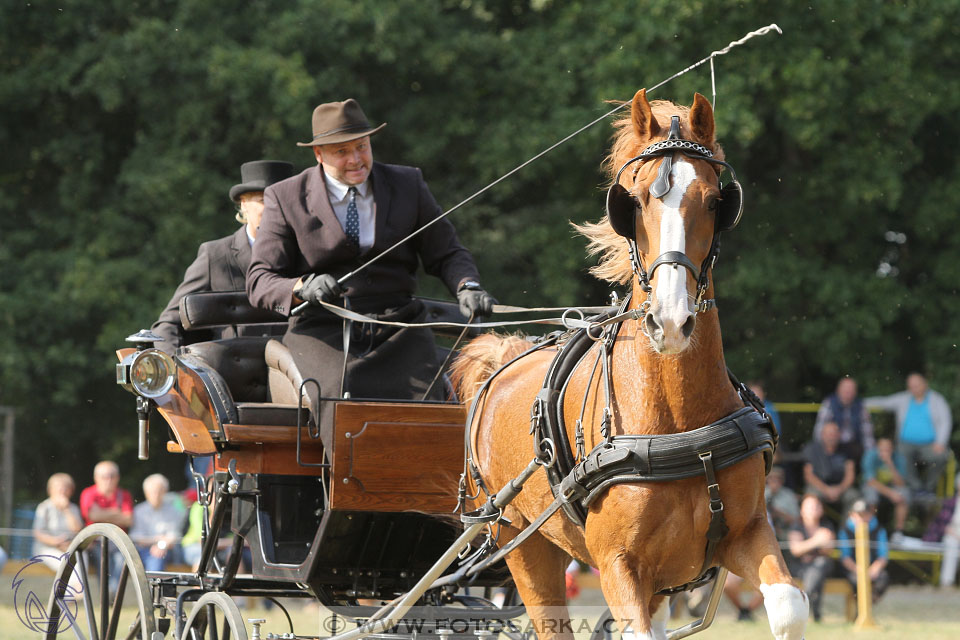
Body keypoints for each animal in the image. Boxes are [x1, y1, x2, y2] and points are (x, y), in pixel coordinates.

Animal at [454, 91, 808, 640]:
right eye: (635, 201)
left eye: (714, 201)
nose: (671, 320)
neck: (678, 419)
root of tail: (502, 360)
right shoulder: (618, 563)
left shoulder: (747, 533)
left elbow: (789, 607)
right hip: (523, 545)